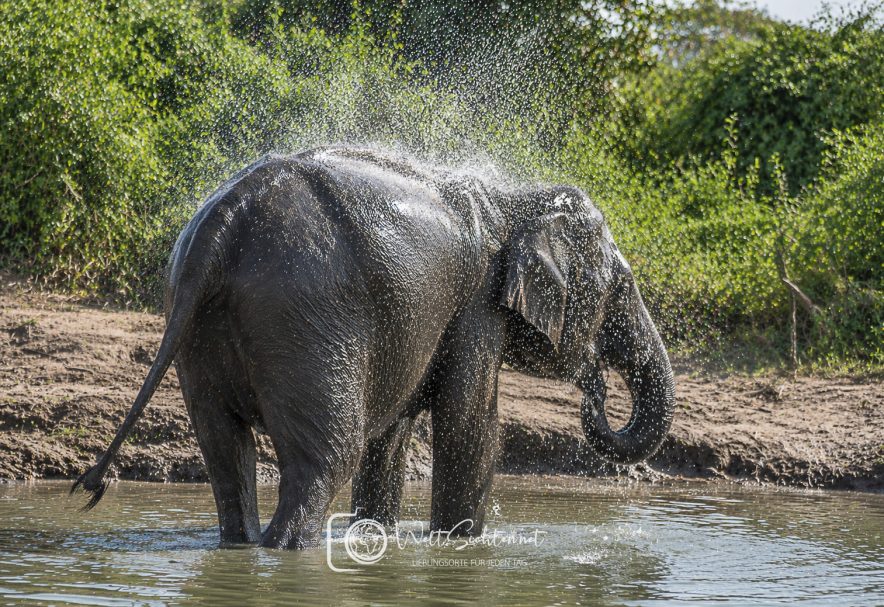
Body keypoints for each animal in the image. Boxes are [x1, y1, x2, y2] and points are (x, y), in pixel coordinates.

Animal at [72, 146, 675, 549]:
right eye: (619, 287)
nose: (595, 386)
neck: (514, 201)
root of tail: (224, 221)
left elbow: (392, 438)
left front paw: (374, 538)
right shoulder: (477, 307)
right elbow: (469, 427)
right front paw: (459, 547)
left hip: (199, 321)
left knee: (225, 451)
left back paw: (241, 546)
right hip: (307, 315)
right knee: (325, 459)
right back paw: (285, 551)